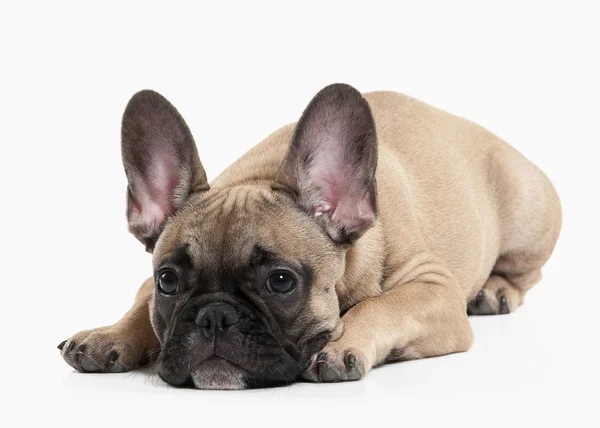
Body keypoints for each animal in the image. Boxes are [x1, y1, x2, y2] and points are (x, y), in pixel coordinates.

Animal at [58, 83, 560, 388]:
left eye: (281, 282)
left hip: (529, 212)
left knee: (526, 272)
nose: (214, 316)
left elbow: (381, 304)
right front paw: (109, 334)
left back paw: (496, 290)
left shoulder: (433, 289)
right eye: (168, 281)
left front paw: (340, 344)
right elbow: (140, 305)